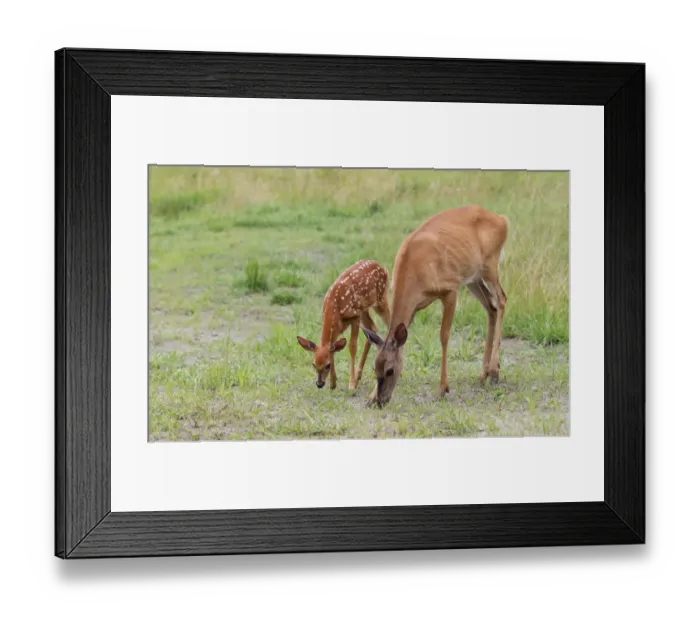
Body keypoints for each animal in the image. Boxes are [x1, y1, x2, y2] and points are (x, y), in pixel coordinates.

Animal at [297, 260, 391, 391]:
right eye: (314, 364)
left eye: (327, 365)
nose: (319, 384)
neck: (334, 306)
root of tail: (382, 267)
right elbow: (333, 349)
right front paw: (333, 383)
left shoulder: (355, 317)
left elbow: (352, 346)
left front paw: (351, 384)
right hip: (364, 309)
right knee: (372, 328)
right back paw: (359, 375)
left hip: (381, 299)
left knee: (391, 322)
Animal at [361, 205, 510, 409]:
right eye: (375, 367)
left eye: (390, 370)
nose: (381, 401)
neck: (415, 271)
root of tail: (502, 219)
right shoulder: (414, 307)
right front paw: (369, 397)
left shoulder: (450, 290)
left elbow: (444, 336)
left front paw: (442, 388)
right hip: (473, 277)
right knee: (491, 307)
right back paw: (483, 374)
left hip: (490, 265)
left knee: (501, 300)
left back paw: (494, 372)